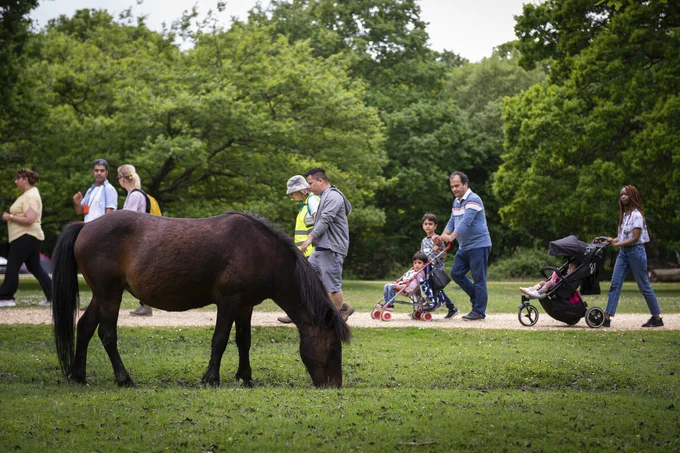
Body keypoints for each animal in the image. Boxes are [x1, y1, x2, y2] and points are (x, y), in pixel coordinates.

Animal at [51, 210, 351, 388]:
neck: (261, 251)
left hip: (101, 295)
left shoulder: (245, 306)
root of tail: (85, 225)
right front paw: (211, 378)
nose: (334, 385)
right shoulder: (229, 302)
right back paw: (124, 378)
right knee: (107, 334)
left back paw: (77, 375)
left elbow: (244, 341)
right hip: (110, 294)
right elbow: (220, 339)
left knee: (85, 327)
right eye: (333, 347)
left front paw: (245, 377)